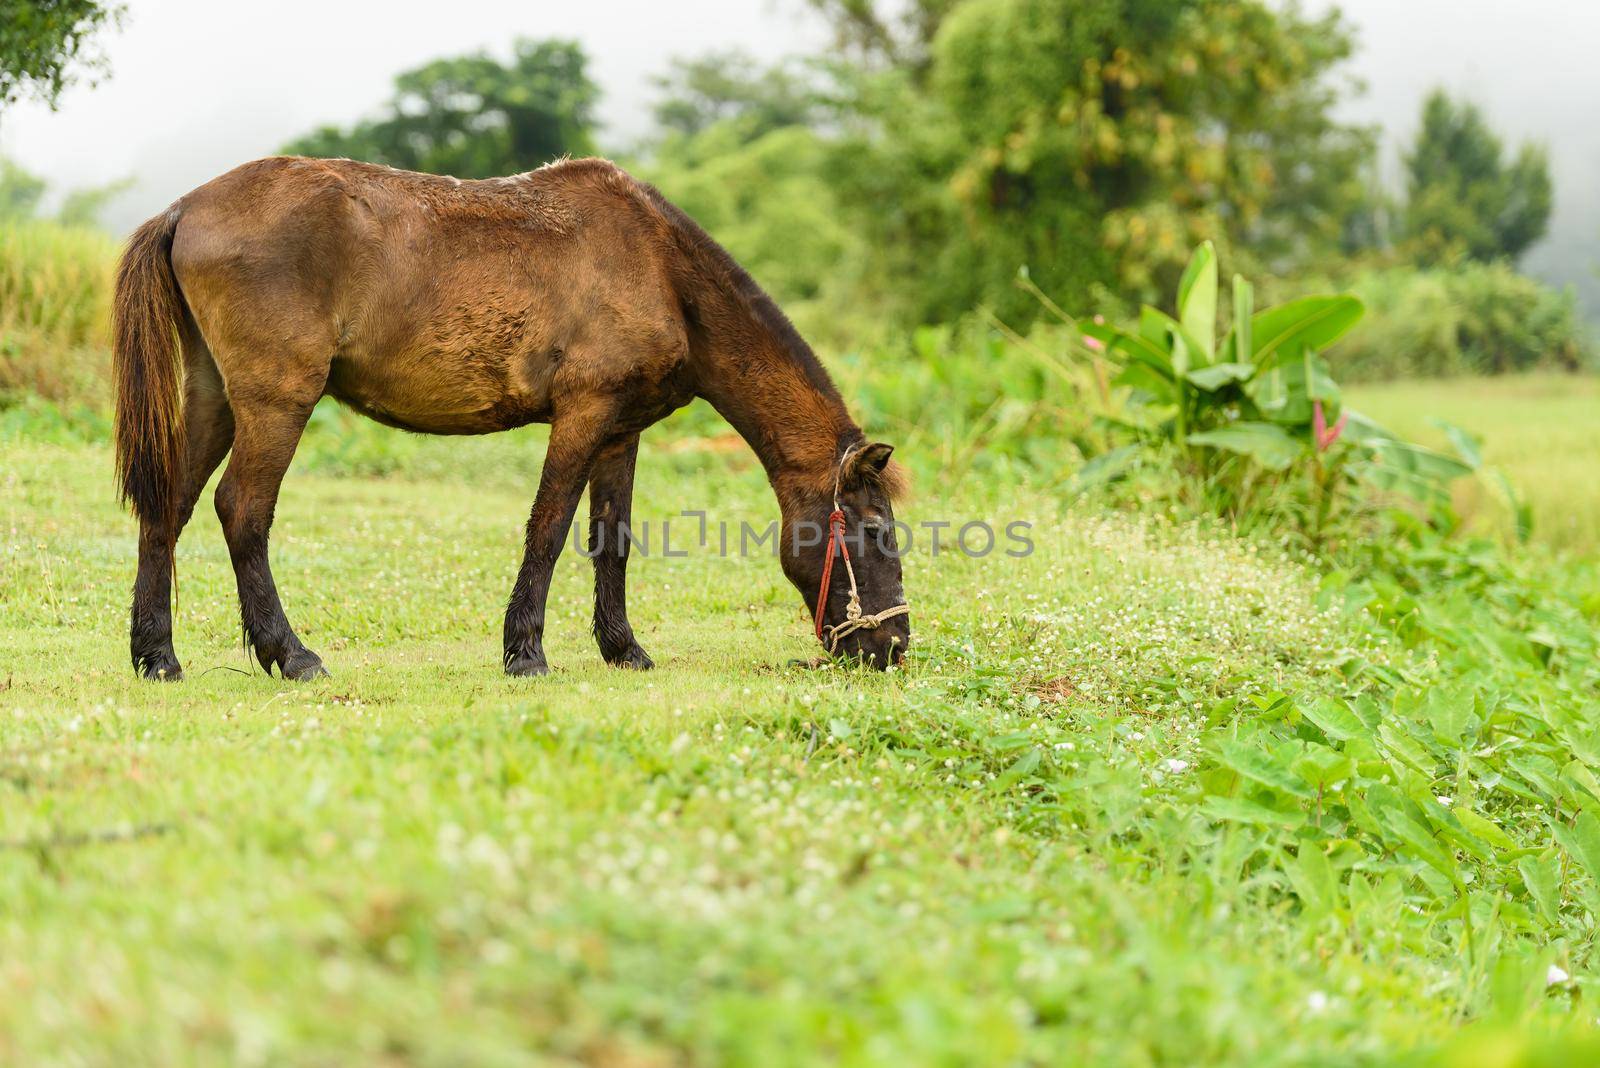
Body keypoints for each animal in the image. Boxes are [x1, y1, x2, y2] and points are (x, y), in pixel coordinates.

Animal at [111, 155, 908, 681]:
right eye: (873, 530)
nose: (893, 647)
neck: (661, 268)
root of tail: (185, 208)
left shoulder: (622, 430)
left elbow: (612, 539)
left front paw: (622, 648)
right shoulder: (584, 414)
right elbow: (549, 529)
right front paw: (525, 651)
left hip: (215, 399)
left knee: (169, 508)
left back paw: (157, 655)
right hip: (278, 403)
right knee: (242, 510)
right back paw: (291, 654)